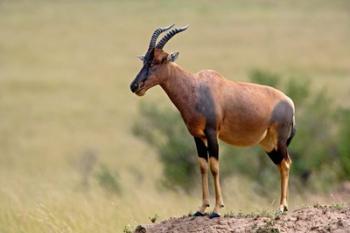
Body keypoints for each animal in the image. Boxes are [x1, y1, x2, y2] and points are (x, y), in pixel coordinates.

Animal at [130, 25, 296, 218]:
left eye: (159, 60)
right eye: (145, 60)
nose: (135, 86)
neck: (195, 87)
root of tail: (289, 101)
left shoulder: (212, 133)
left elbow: (214, 166)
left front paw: (217, 209)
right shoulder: (197, 135)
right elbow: (202, 166)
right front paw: (202, 208)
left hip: (280, 140)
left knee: (286, 164)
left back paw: (281, 207)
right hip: (268, 144)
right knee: (281, 164)